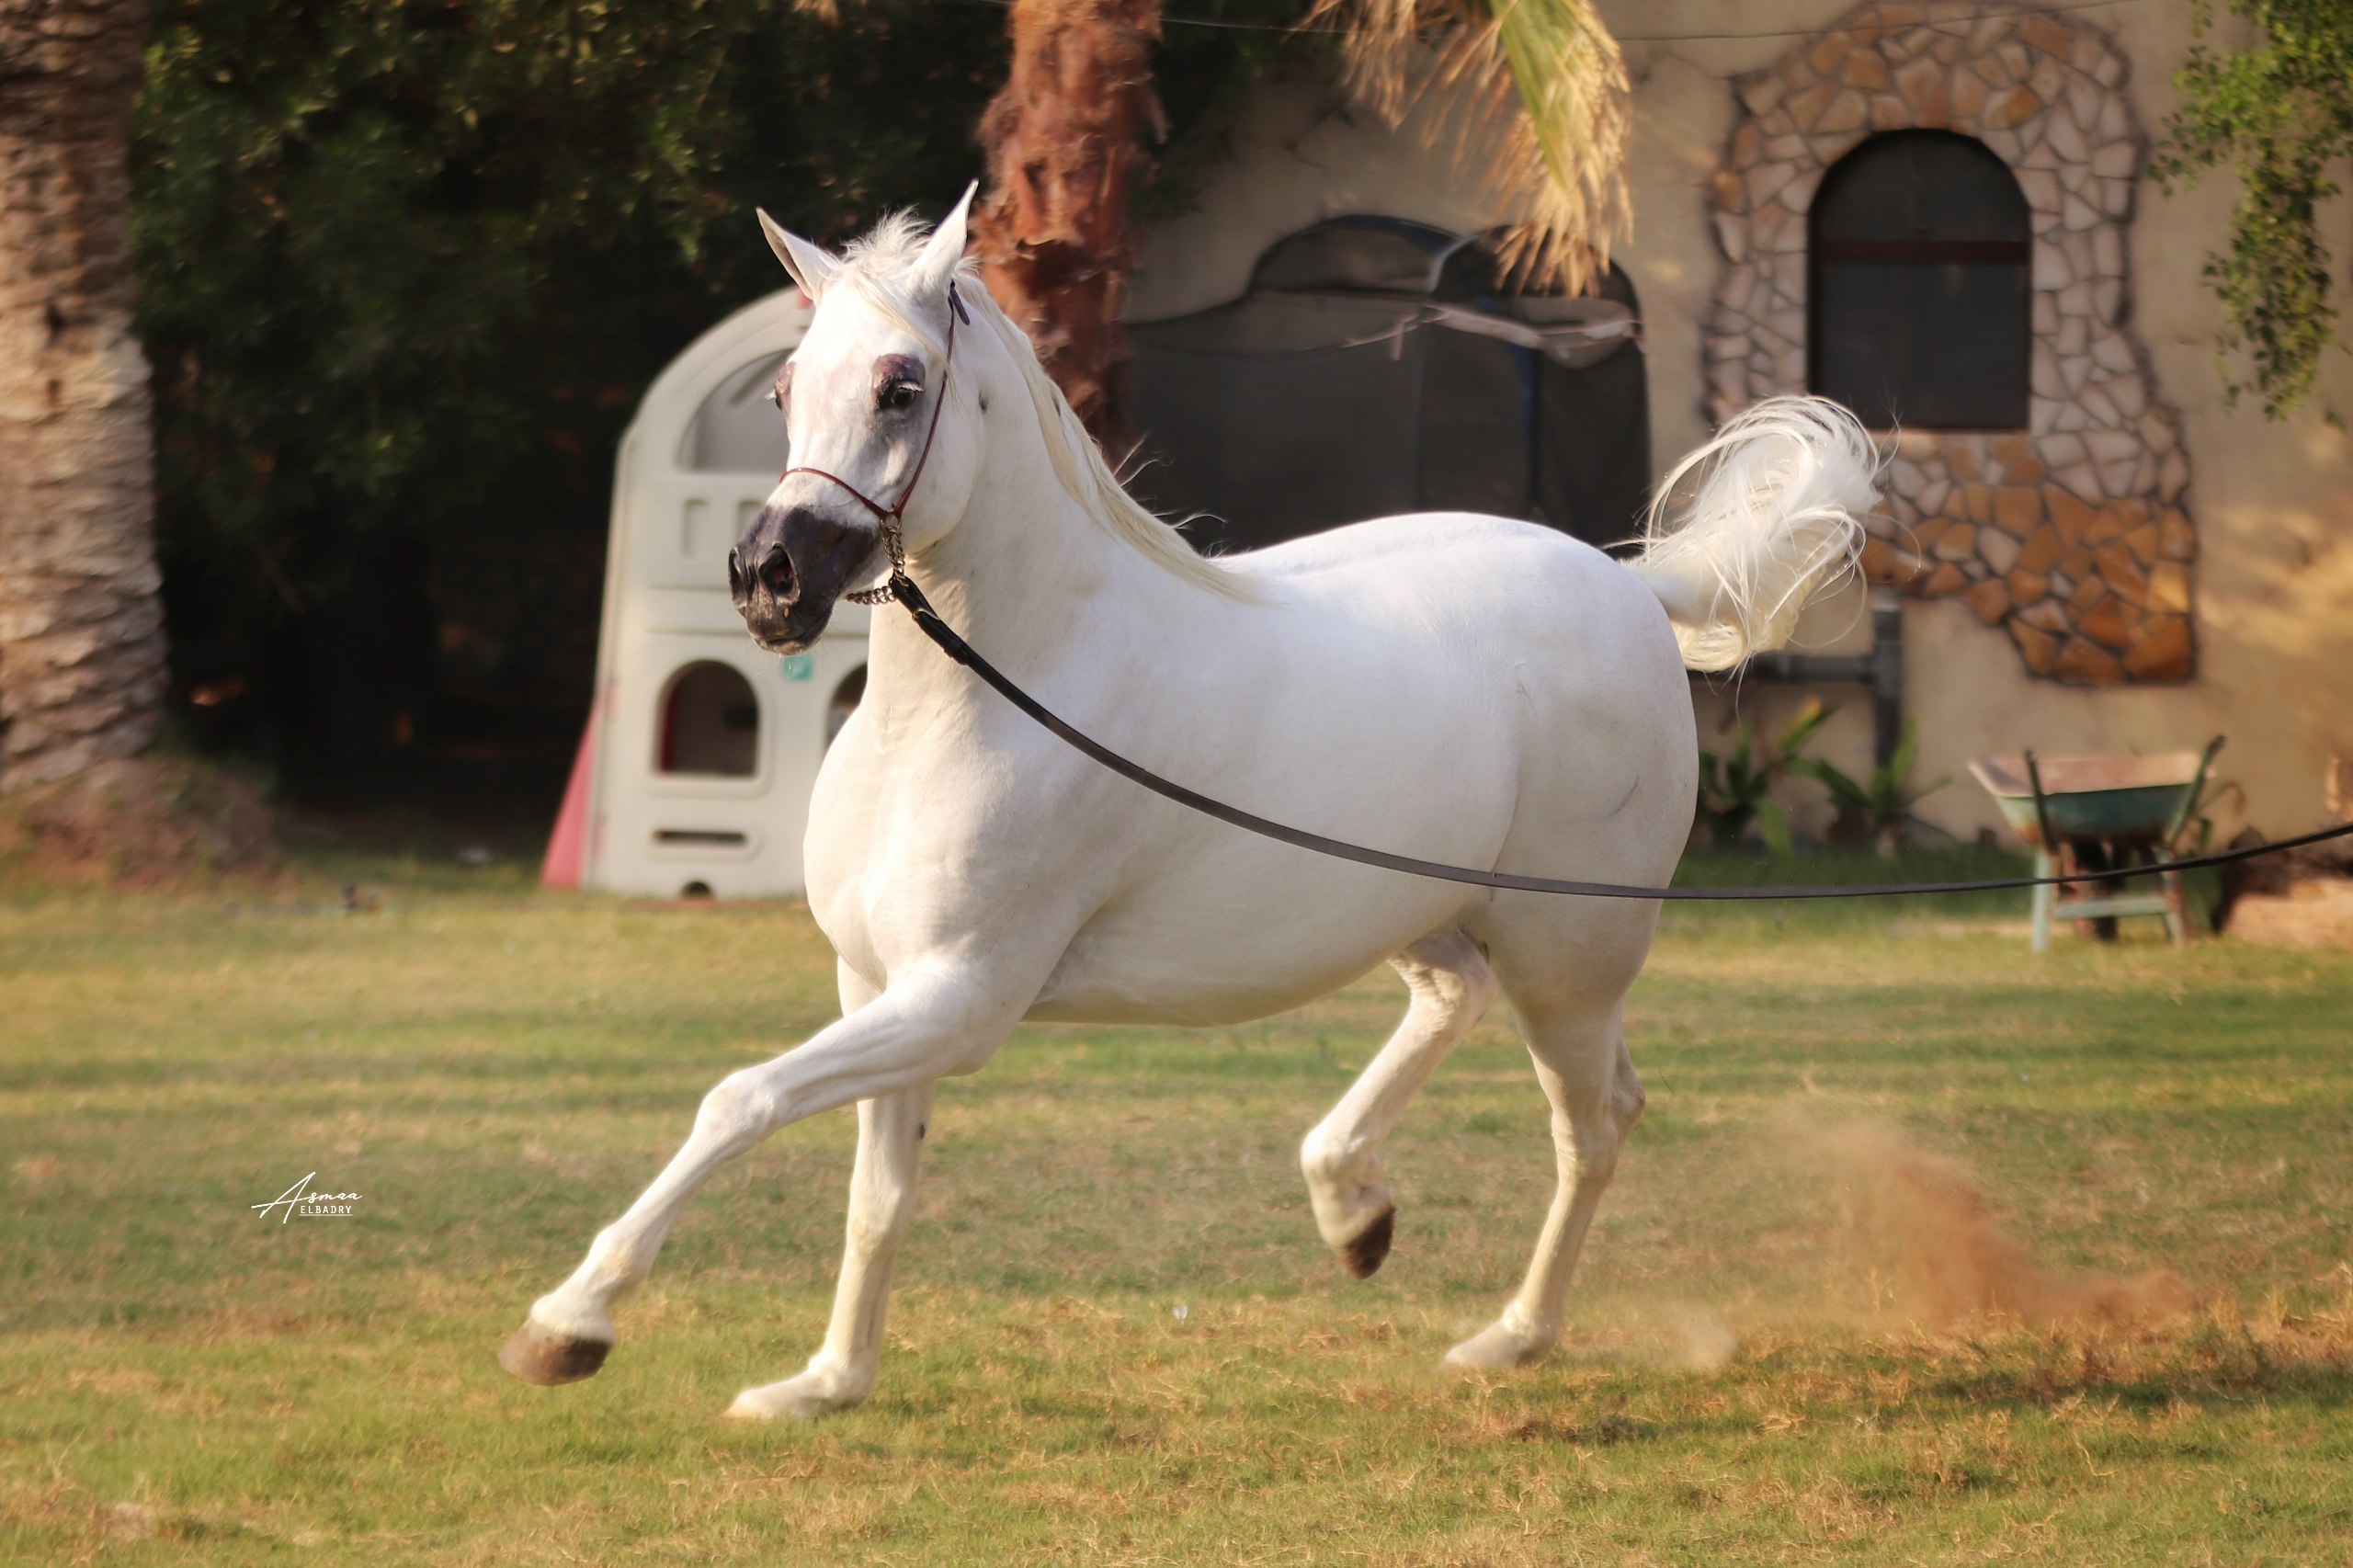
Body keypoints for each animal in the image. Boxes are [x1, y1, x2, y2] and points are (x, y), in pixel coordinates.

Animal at [499, 188, 1877, 1419]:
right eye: (787, 390)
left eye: (899, 386)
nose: (768, 577)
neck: (979, 705)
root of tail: (1633, 591)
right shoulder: (878, 987)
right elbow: (875, 1195)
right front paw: (825, 1384)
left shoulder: (956, 1000)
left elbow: (740, 1097)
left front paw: (568, 1323)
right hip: (1434, 916)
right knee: (1460, 1006)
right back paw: (1353, 1208)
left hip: (1570, 956)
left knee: (1592, 1123)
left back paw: (1508, 1337)